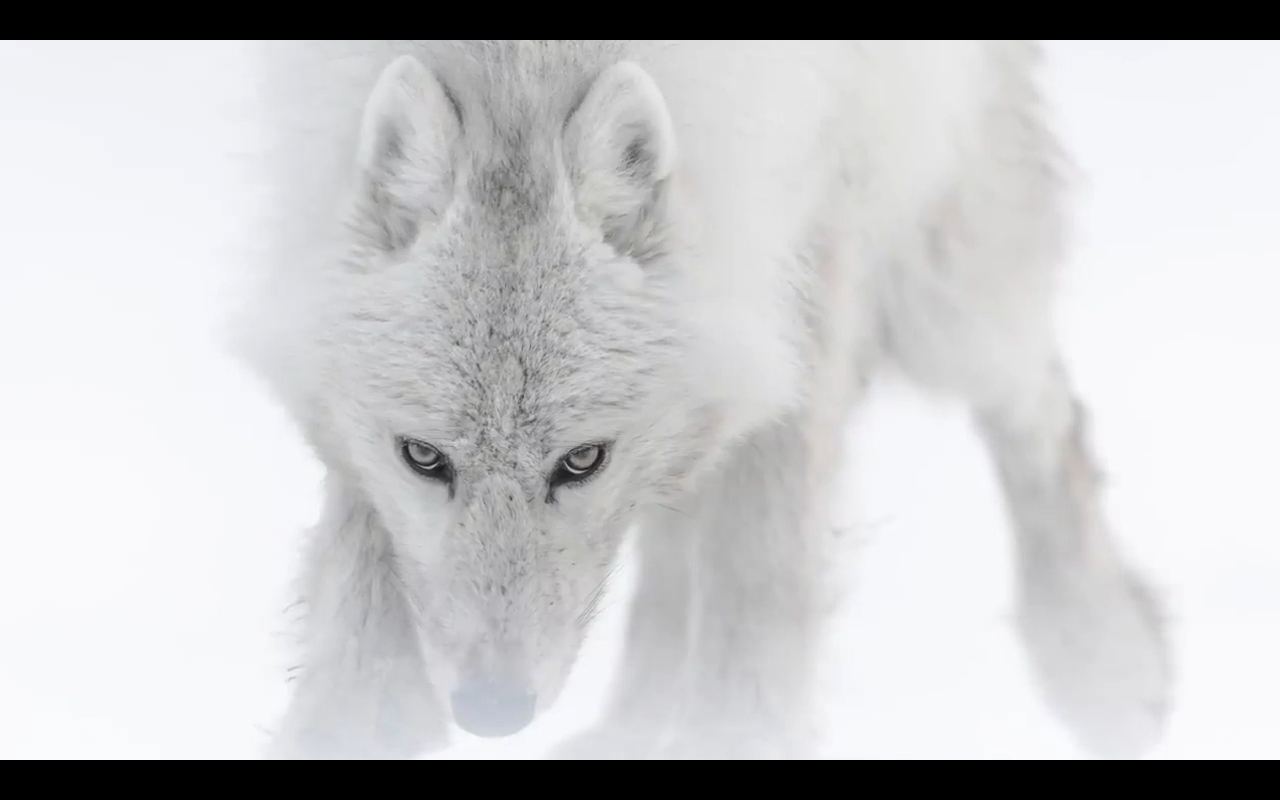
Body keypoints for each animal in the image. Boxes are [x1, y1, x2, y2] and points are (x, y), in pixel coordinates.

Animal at [234, 40, 1171, 760]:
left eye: (581, 460)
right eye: (424, 458)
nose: (492, 713)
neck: (524, 63)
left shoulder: (797, 248)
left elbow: (759, 581)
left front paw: (740, 729)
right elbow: (358, 629)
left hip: (951, 292)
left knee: (1048, 411)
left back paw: (1107, 665)